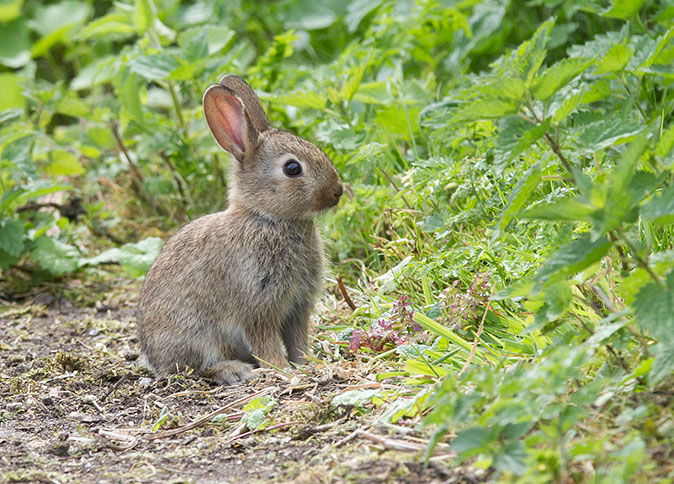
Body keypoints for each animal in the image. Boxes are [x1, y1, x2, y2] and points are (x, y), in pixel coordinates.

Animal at [138, 74, 344, 386]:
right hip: (196, 336)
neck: (269, 218)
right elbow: (265, 344)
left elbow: (298, 340)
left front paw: (309, 364)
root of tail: (153, 358)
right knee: (198, 368)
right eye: (292, 168)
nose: (337, 192)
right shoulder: (257, 308)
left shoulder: (298, 308)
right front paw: (282, 370)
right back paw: (236, 370)